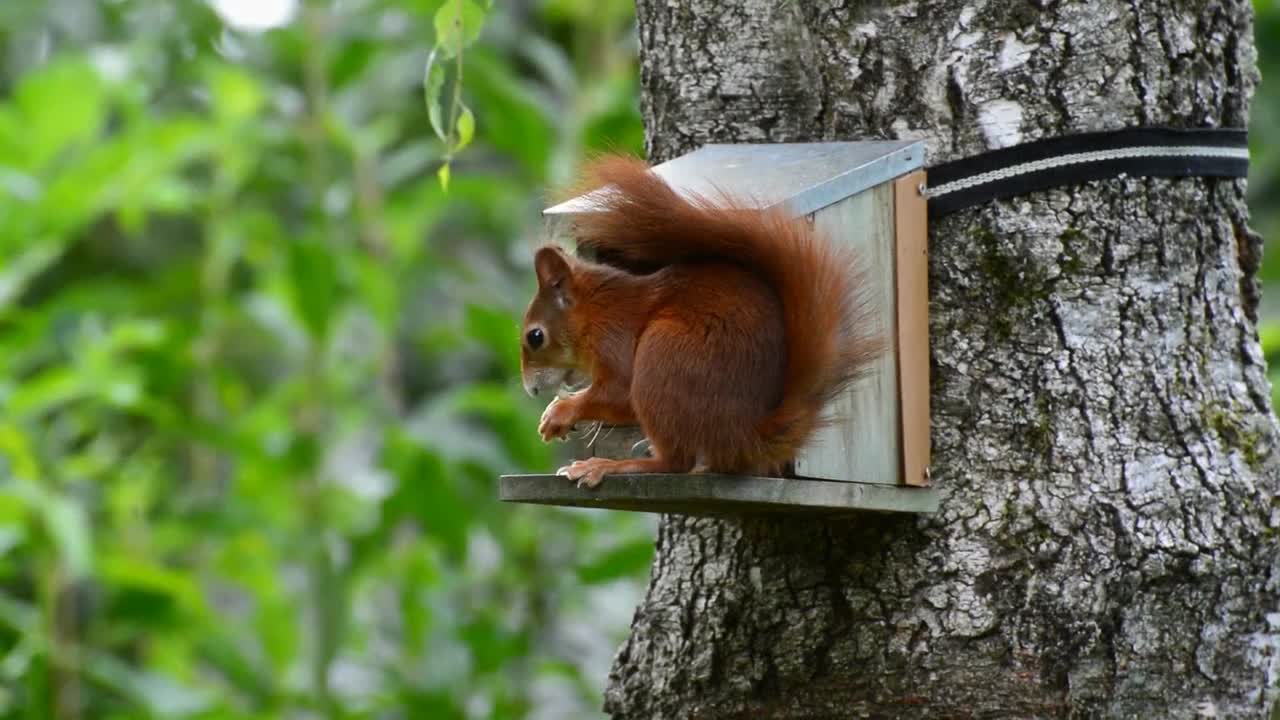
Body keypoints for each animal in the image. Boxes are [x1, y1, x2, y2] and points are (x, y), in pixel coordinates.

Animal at [517, 153, 880, 484]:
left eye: (535, 336)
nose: (531, 390)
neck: (595, 311)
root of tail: (745, 436)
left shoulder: (614, 336)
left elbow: (618, 392)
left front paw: (561, 412)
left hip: (663, 356)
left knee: (676, 462)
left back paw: (610, 465)